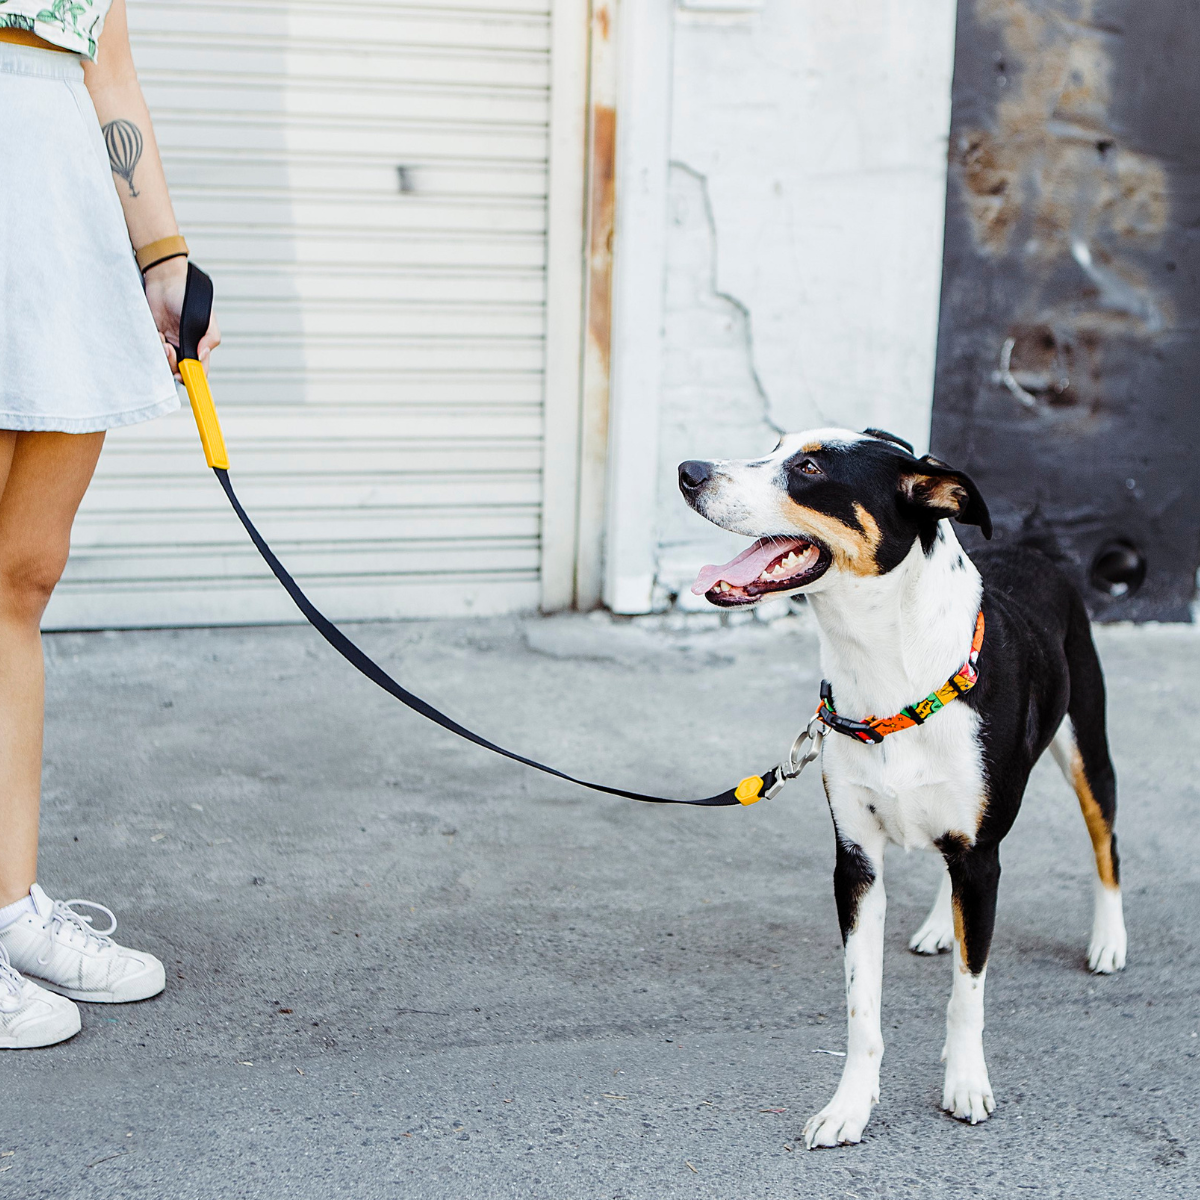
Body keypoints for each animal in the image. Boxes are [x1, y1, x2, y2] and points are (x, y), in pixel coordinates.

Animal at [681, 427, 1128, 1147]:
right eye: (775, 445)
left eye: (810, 468)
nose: (687, 471)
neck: (890, 675)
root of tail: (1034, 550)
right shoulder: (856, 861)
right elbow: (862, 1007)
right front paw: (850, 1106)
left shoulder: (980, 855)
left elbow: (968, 993)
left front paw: (965, 1082)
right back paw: (941, 925)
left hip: (1087, 744)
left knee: (1104, 839)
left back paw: (1109, 940)